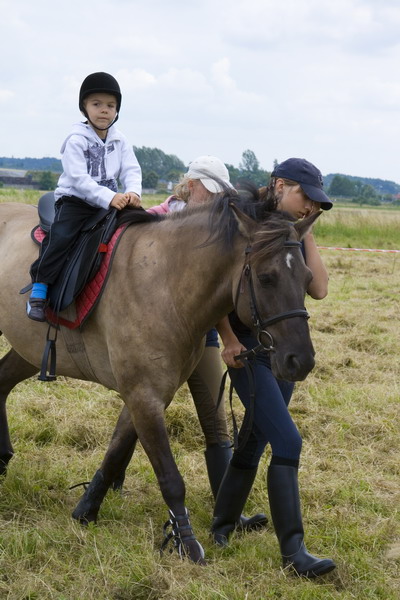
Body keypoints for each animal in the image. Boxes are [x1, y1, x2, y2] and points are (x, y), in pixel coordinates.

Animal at [0, 190, 318, 564]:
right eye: (266, 277)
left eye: (307, 279)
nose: (301, 360)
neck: (165, 283)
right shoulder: (144, 395)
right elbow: (169, 477)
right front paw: (186, 542)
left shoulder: (149, 396)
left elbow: (116, 451)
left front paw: (86, 511)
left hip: (28, 350)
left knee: (2, 382)